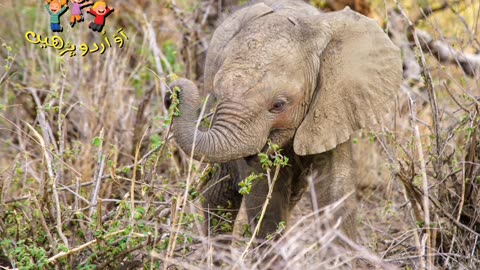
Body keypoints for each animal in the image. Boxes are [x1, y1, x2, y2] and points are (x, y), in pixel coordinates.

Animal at [168, 0, 402, 240]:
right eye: (217, 94)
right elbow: (264, 196)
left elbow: (335, 188)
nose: (174, 89)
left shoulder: (334, 105)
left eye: (278, 105)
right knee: (222, 191)